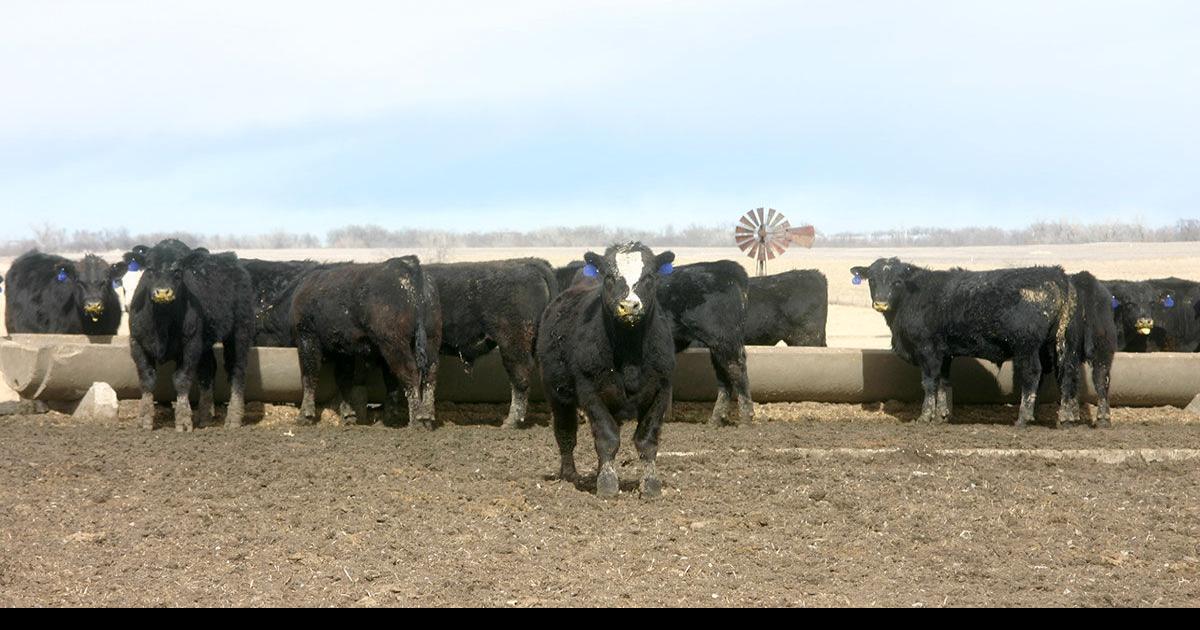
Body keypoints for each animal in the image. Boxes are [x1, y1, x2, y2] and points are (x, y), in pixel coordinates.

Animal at [126, 239, 255, 432]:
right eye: (149, 269)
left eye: (178, 271)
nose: (162, 292)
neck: (162, 321)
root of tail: (231, 259)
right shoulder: (137, 344)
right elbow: (147, 379)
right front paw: (145, 420)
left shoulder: (191, 345)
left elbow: (182, 379)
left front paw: (183, 421)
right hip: (206, 342)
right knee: (208, 370)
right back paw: (205, 417)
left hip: (240, 331)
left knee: (237, 371)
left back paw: (233, 419)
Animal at [289, 257, 441, 428]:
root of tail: (407, 264)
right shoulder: (343, 348)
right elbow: (344, 378)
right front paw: (349, 415)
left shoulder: (307, 337)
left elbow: (310, 374)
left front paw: (305, 415)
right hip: (431, 339)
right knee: (429, 375)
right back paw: (425, 417)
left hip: (395, 344)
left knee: (410, 374)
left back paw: (416, 421)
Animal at [538, 242, 676, 498]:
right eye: (610, 277)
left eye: (649, 276)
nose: (629, 306)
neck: (630, 351)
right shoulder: (590, 392)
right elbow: (607, 437)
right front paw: (608, 484)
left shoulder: (661, 390)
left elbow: (647, 439)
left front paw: (651, 484)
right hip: (557, 393)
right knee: (565, 433)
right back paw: (569, 474)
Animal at [850, 258, 1082, 428]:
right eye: (871, 279)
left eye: (897, 281)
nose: (881, 303)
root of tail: (1055, 273)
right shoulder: (944, 353)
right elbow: (943, 382)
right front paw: (942, 416)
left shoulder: (928, 349)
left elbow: (929, 382)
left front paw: (925, 417)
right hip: (1058, 344)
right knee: (1066, 374)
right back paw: (1066, 418)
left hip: (1027, 346)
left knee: (1033, 375)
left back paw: (1024, 418)